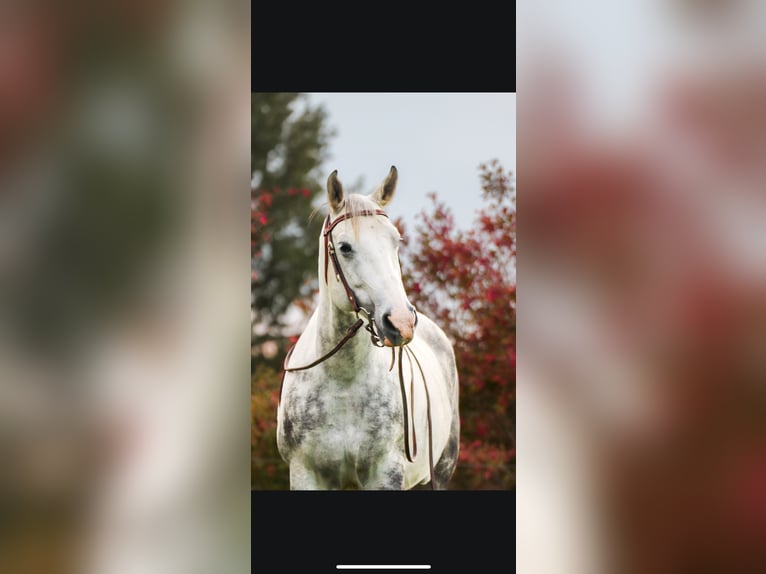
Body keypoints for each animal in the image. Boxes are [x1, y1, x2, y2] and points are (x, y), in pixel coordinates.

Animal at [276, 166, 460, 490]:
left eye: (396, 241)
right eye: (345, 247)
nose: (401, 322)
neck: (342, 381)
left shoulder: (386, 474)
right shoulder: (304, 474)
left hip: (438, 473)